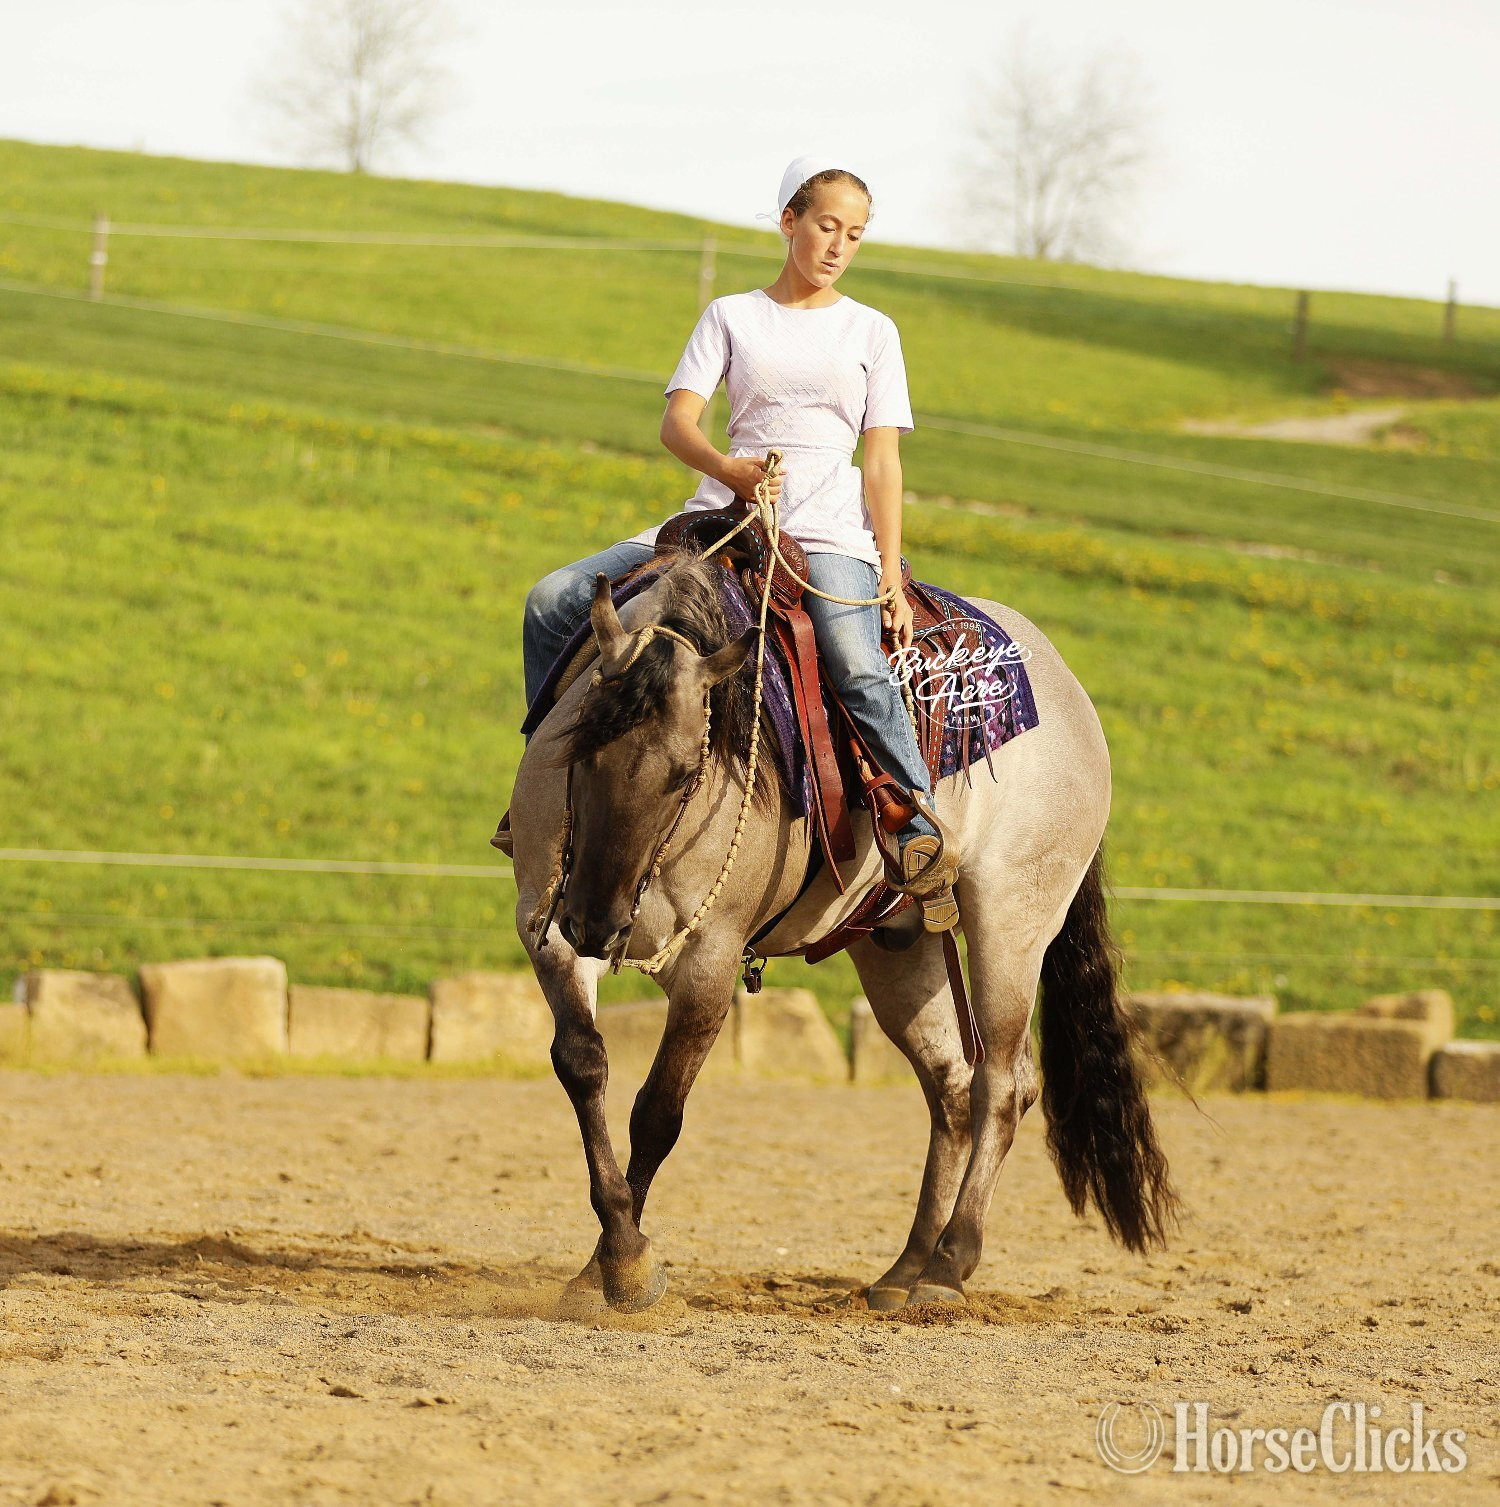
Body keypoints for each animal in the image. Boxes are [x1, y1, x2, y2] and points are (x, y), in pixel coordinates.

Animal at [506, 549, 1178, 1311]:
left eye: (684, 772)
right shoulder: (548, 928)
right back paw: (905, 1269)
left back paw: (949, 1265)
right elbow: (583, 1064)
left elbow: (657, 1111)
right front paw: (607, 1257)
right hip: (900, 949)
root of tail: (1068, 694)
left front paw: (624, 1265)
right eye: (581, 742)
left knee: (1003, 1086)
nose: (597, 922)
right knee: (951, 1085)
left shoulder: (710, 960)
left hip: (1012, 923)